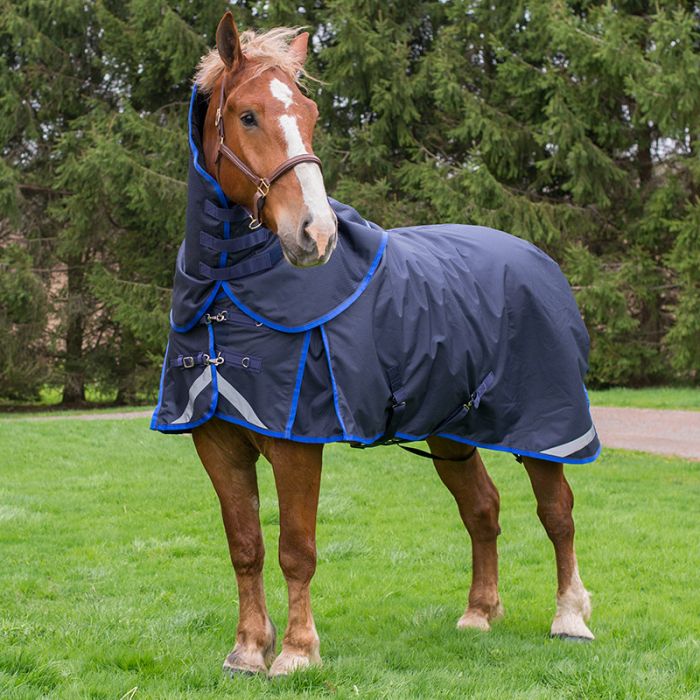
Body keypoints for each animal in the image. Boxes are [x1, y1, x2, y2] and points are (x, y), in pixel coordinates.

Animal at [156, 11, 597, 677]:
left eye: (309, 112)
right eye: (248, 115)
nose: (315, 234)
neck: (228, 293)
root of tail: (537, 258)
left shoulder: (296, 443)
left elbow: (295, 548)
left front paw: (297, 652)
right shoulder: (217, 442)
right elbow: (245, 547)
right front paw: (248, 650)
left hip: (546, 427)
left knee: (558, 514)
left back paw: (570, 618)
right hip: (451, 431)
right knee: (483, 509)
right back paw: (479, 614)